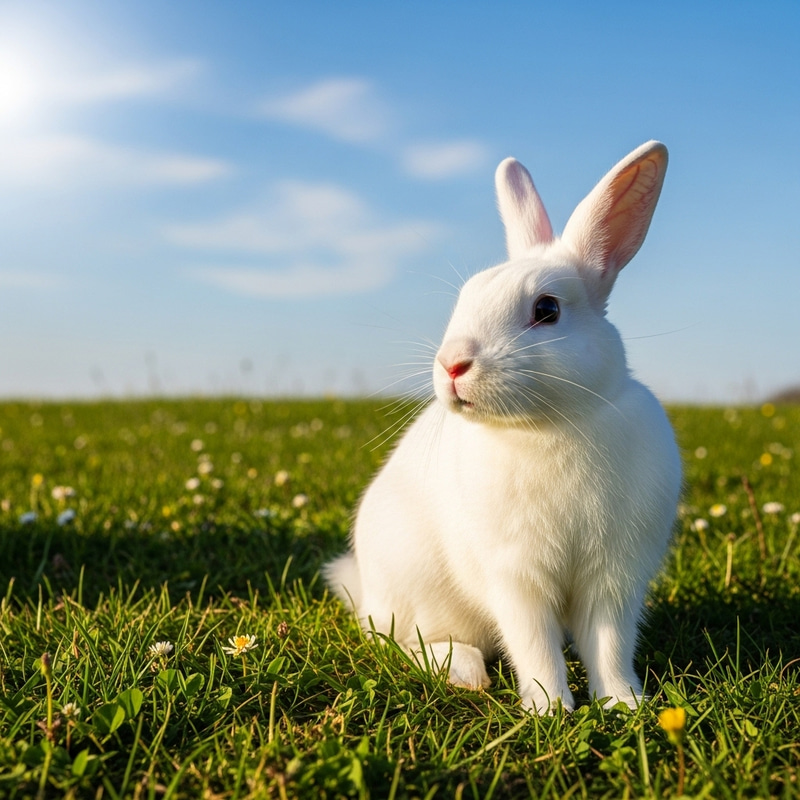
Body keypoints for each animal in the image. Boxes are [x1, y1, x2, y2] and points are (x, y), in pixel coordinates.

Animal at [325, 141, 682, 714]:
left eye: (547, 309)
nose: (452, 365)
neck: (550, 424)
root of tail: (365, 591)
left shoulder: (613, 579)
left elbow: (609, 646)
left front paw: (623, 703)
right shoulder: (516, 578)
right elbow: (533, 644)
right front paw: (550, 708)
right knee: (403, 642)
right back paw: (464, 670)